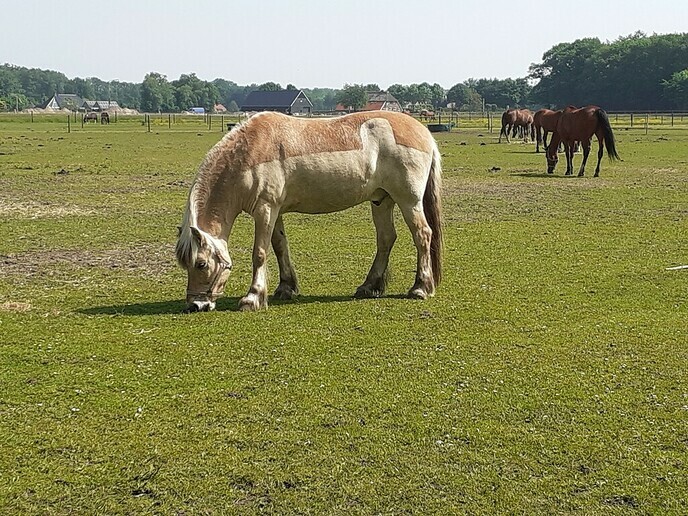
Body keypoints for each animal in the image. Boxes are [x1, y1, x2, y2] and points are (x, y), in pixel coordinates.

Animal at [175, 111, 443, 313]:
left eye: (201, 264)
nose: (196, 305)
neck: (249, 151)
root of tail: (425, 134)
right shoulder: (275, 211)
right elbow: (279, 247)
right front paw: (286, 288)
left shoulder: (265, 209)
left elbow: (259, 253)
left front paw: (252, 298)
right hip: (381, 200)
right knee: (386, 239)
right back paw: (368, 286)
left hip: (408, 201)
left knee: (422, 235)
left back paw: (420, 288)